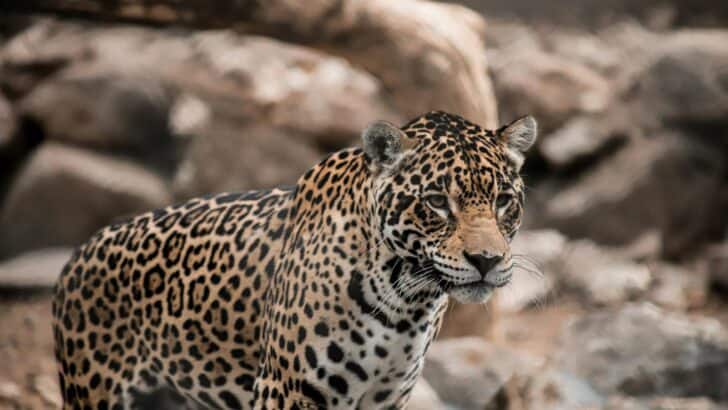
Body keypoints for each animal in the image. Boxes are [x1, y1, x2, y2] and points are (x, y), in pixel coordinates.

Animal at [52, 110, 538, 410]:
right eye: (437, 202)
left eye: (502, 201)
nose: (486, 260)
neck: (405, 300)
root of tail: (77, 256)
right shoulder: (284, 390)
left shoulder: (387, 396)